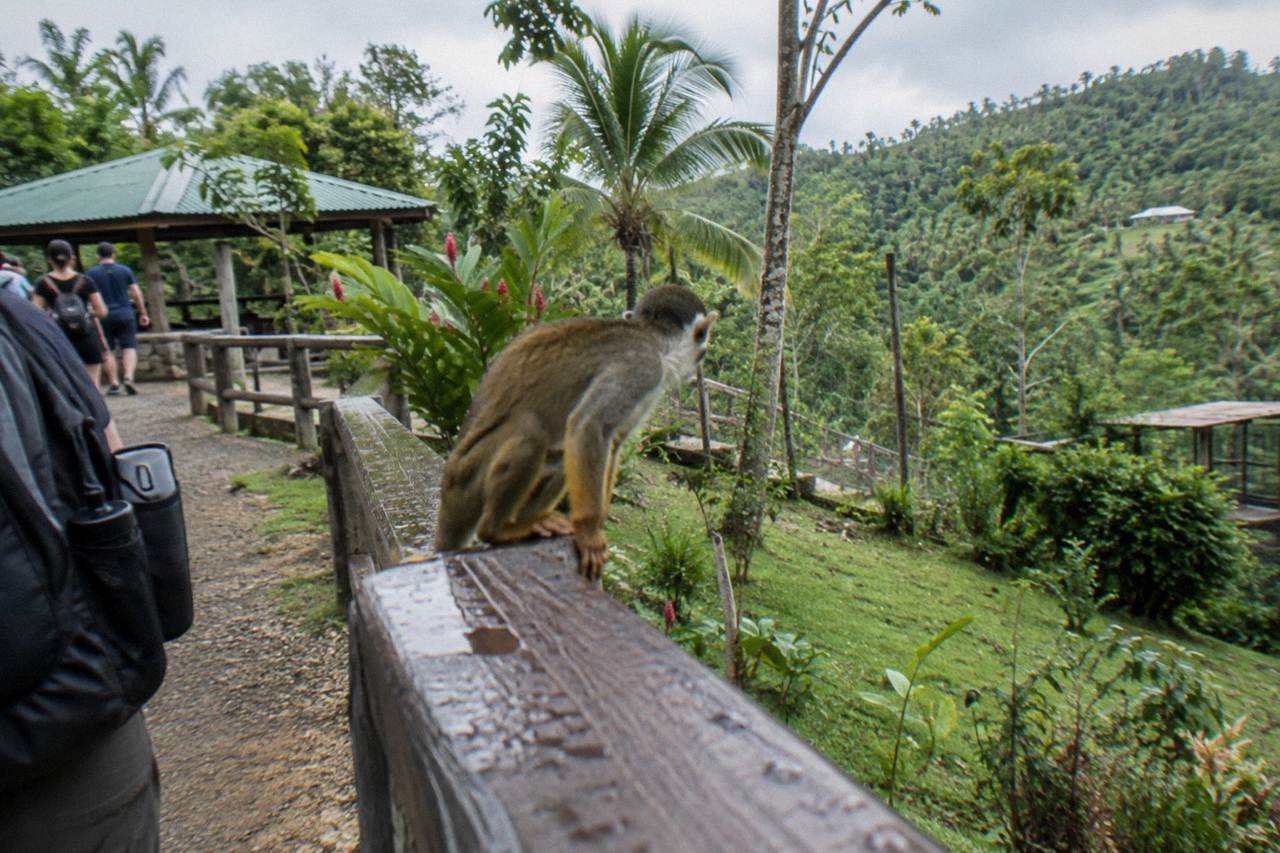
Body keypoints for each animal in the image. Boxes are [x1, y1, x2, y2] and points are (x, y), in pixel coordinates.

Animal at [433, 285, 718, 580]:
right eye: (703, 337)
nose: (704, 351)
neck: (653, 339)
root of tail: (447, 491)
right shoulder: (642, 368)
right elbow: (589, 426)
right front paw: (589, 530)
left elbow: (613, 441)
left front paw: (598, 522)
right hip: (467, 478)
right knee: (531, 429)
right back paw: (498, 529)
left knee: (559, 457)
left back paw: (531, 522)